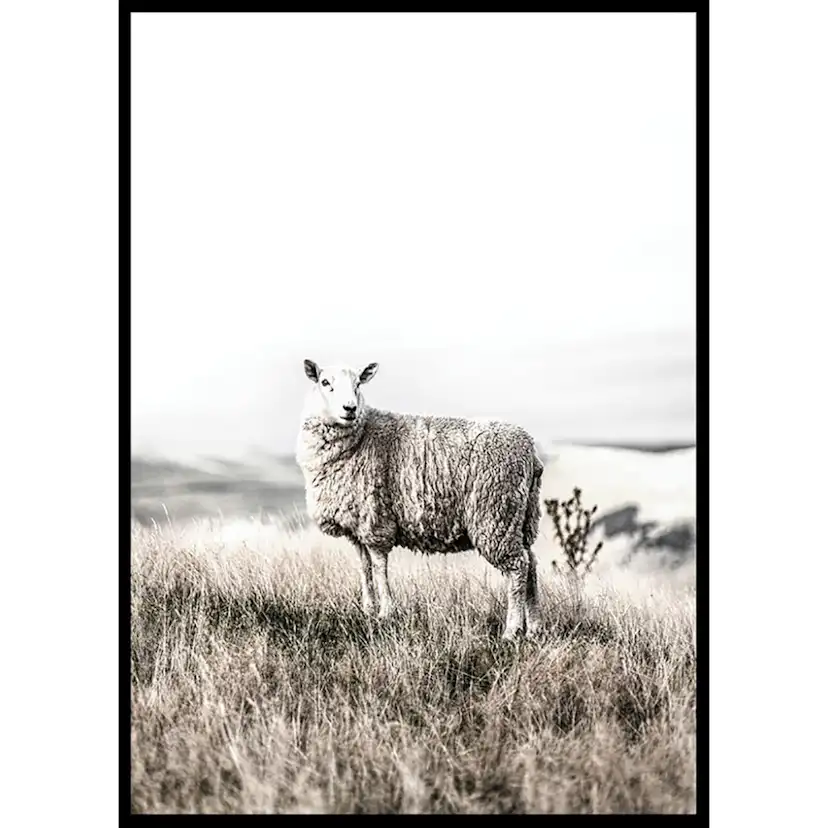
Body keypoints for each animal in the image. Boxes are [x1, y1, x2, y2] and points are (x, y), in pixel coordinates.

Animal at [295, 359, 545, 640]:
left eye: (358, 383)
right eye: (325, 382)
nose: (350, 408)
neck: (361, 437)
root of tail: (530, 451)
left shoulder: (376, 520)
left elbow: (379, 567)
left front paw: (386, 612)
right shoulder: (357, 526)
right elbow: (364, 567)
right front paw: (368, 609)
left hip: (495, 514)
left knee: (517, 567)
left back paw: (512, 630)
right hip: (521, 517)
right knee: (531, 564)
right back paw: (534, 628)